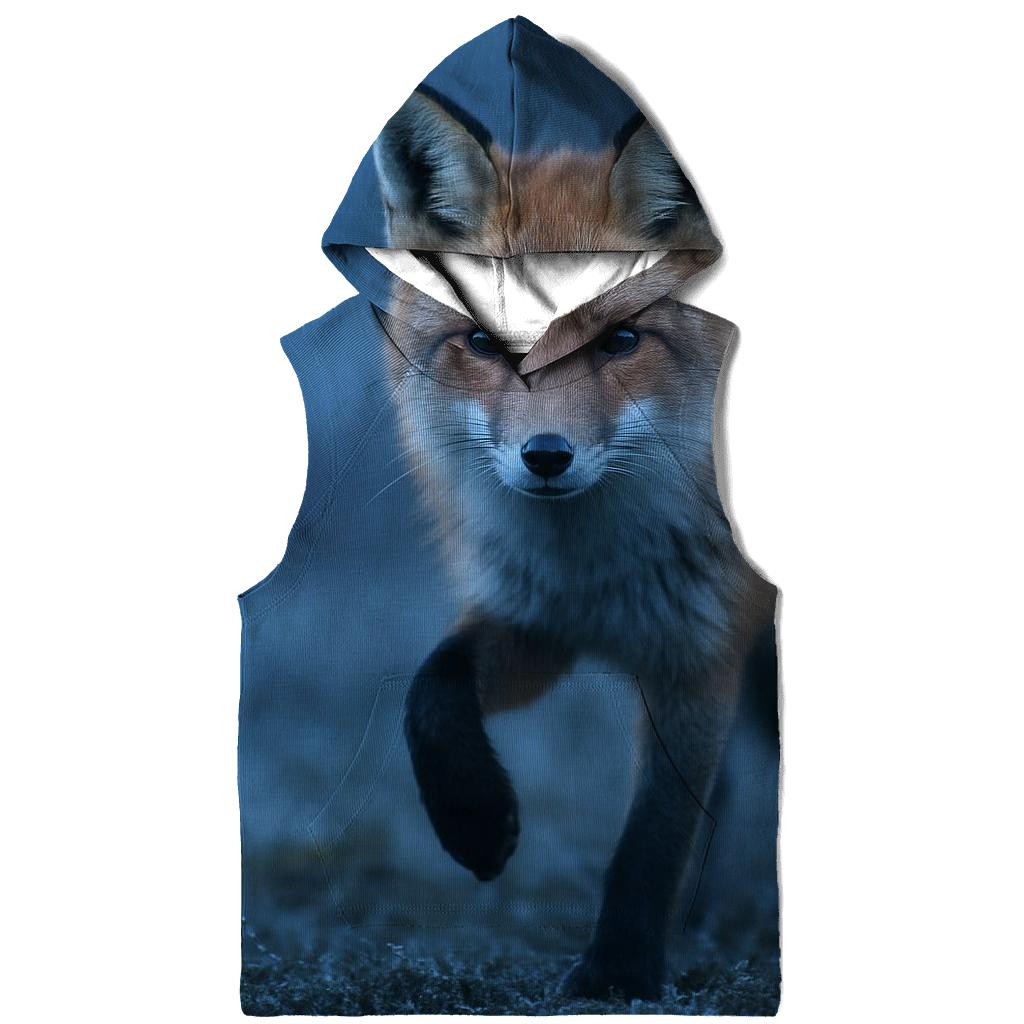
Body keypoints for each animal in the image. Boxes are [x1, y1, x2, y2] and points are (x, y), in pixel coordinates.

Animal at [371, 91, 776, 1000]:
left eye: (619, 341)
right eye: (485, 343)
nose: (546, 457)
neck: (599, 569)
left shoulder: (698, 649)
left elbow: (653, 835)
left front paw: (616, 975)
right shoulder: (537, 623)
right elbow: (430, 692)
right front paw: (474, 819)